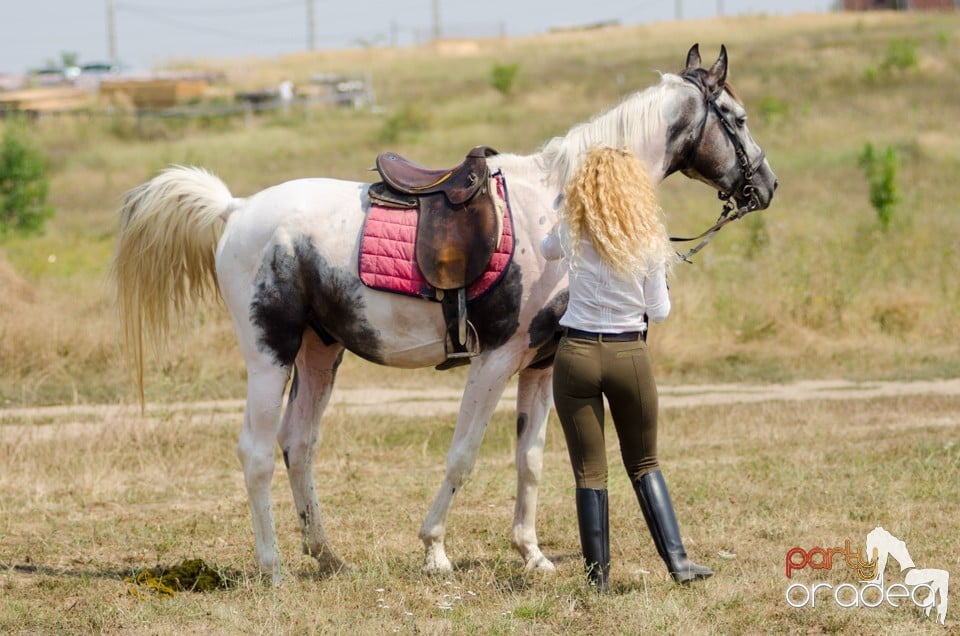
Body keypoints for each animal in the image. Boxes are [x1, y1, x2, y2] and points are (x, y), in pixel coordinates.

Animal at [109, 42, 776, 584]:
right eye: (738, 119)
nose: (766, 186)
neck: (558, 203)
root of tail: (237, 208)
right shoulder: (496, 358)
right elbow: (464, 453)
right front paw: (434, 550)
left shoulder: (541, 363)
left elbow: (531, 459)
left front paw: (532, 554)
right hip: (269, 356)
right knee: (255, 451)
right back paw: (272, 567)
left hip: (320, 354)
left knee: (298, 444)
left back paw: (327, 556)